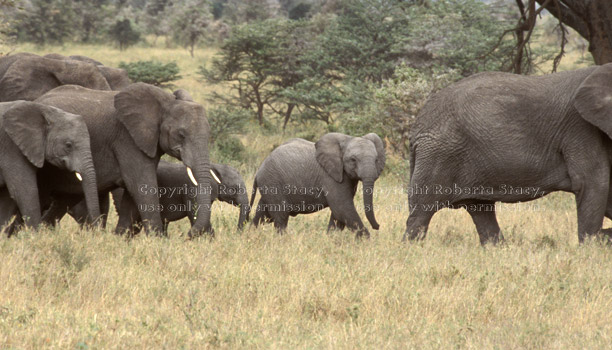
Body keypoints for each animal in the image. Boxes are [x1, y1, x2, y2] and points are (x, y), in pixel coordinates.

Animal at [0, 100, 98, 232]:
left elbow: (6, 200)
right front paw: (35, 235)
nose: (97, 230)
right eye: (68, 145)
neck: (46, 111)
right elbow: (24, 190)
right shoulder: (12, 147)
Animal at [35, 82, 215, 235]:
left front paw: (120, 238)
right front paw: (158, 240)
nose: (188, 234)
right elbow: (141, 183)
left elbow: (132, 190)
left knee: (64, 200)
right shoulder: (127, 138)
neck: (165, 103)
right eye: (181, 134)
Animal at [247, 132, 382, 238]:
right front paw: (366, 242)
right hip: (273, 183)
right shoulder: (330, 176)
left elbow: (338, 213)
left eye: (376, 160)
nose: (378, 226)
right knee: (281, 216)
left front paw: (331, 239)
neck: (347, 139)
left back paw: (250, 235)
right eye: (353, 160)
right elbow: (342, 208)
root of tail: (258, 171)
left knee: (263, 214)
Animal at [404, 63, 612, 245]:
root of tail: (416, 128)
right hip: (440, 153)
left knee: (481, 210)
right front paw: (590, 247)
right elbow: (594, 182)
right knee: (422, 211)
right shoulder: (580, 128)